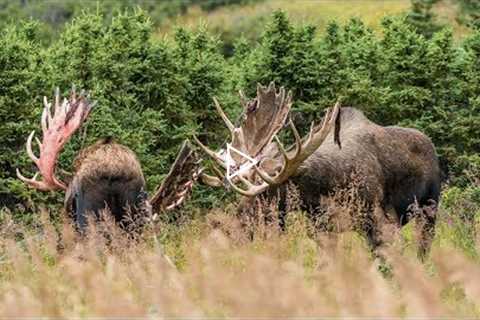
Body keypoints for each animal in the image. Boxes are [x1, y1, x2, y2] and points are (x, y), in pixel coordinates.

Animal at [193, 83, 440, 258]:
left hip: (429, 209)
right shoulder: (322, 229)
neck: (321, 189)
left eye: (266, 192)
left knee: (423, 248)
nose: (230, 227)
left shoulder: (381, 221)